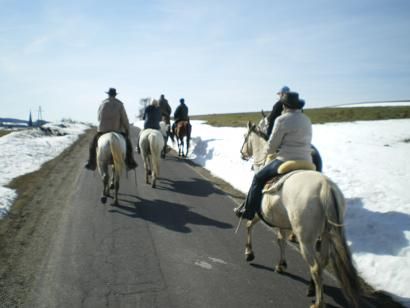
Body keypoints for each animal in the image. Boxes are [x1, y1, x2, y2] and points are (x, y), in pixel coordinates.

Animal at [239, 121, 370, 308]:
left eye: (245, 136)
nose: (242, 153)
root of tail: (325, 187)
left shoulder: (259, 212)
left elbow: (249, 225)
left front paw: (249, 253)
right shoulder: (282, 222)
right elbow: (280, 240)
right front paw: (281, 265)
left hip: (306, 239)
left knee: (315, 266)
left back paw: (318, 302)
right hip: (326, 234)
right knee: (322, 262)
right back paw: (312, 288)